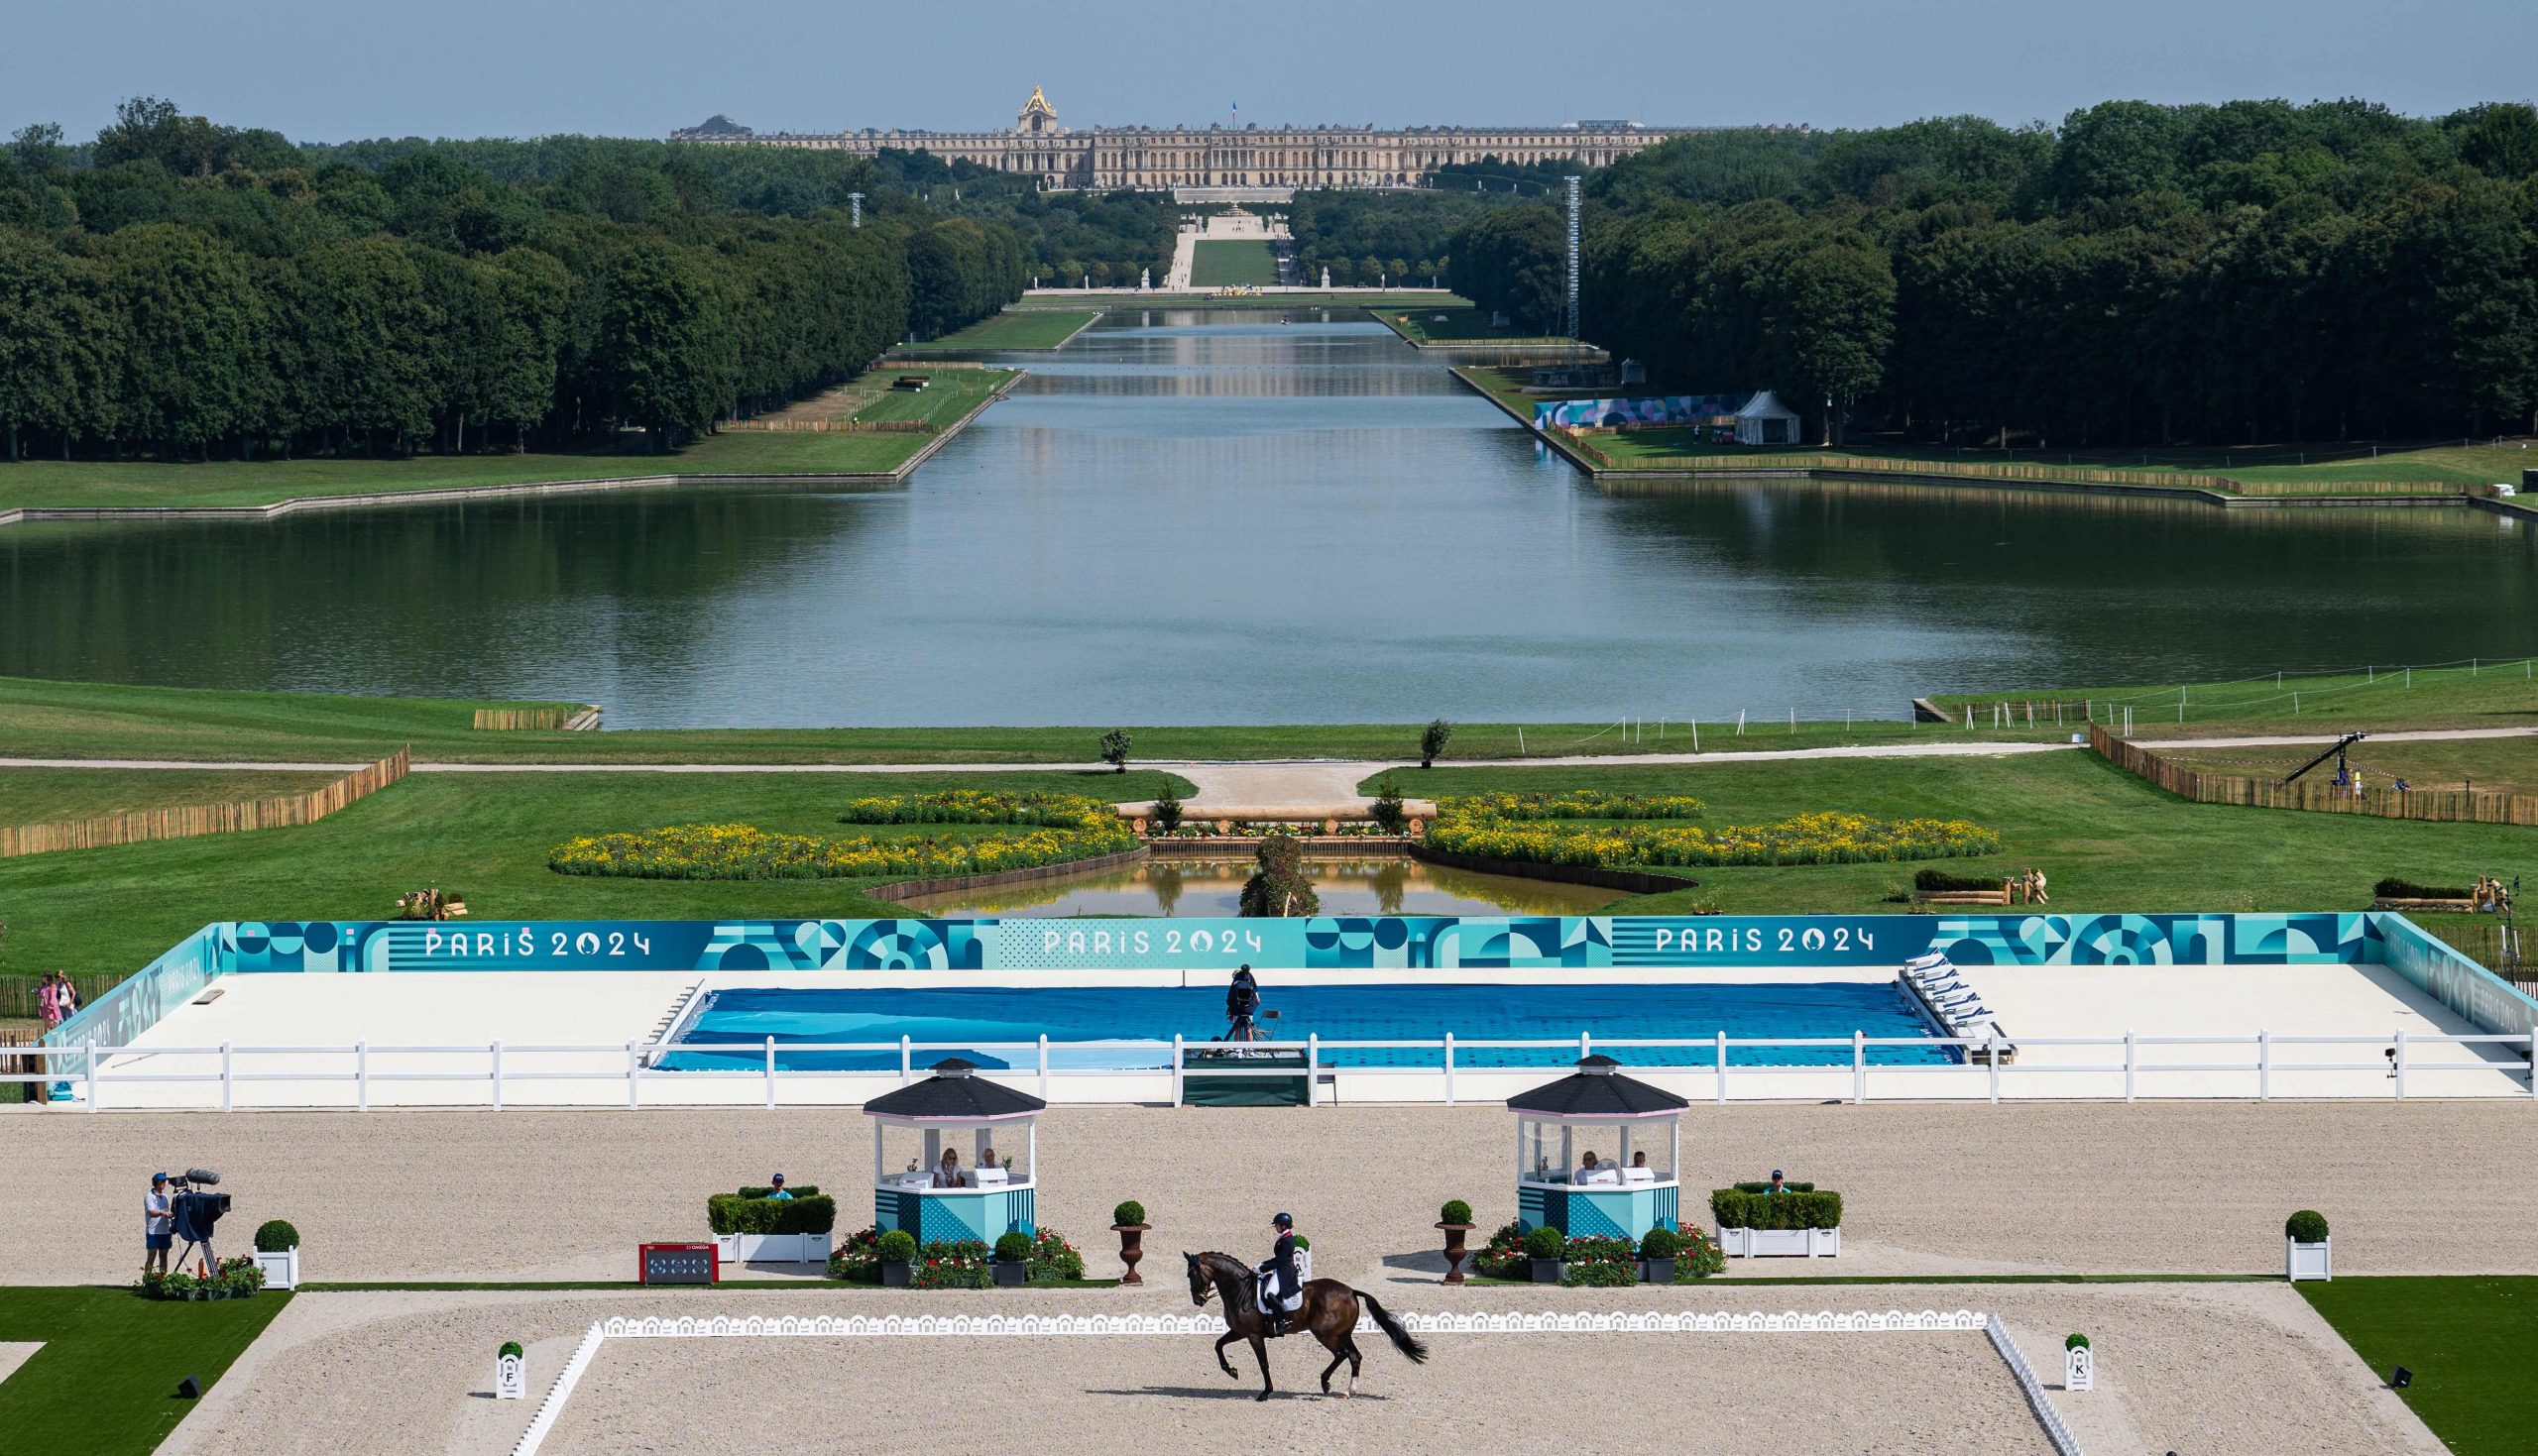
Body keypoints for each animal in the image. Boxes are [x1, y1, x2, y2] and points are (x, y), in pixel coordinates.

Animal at [1182, 1258, 1431, 1400]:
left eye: (1192, 1274)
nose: (1197, 1300)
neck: (1241, 1290)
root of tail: (1351, 1291)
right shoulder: (1239, 1332)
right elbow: (1218, 1345)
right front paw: (1231, 1371)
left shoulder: (1253, 1335)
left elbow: (1263, 1363)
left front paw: (1266, 1392)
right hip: (1342, 1333)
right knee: (1354, 1356)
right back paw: (1349, 1390)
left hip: (1325, 1333)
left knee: (1342, 1354)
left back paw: (1326, 1383)